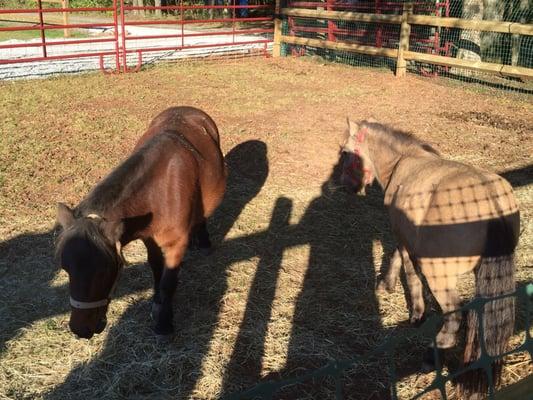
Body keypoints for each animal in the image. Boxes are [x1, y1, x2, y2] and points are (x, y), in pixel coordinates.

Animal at [55, 108, 225, 340]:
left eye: (104, 271)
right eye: (66, 269)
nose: (80, 329)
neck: (158, 194)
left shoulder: (175, 245)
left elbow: (168, 283)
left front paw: (164, 322)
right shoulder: (149, 238)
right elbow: (156, 268)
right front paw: (156, 302)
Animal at [340, 118, 520, 396]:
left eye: (346, 152)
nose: (345, 186)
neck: (403, 160)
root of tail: (490, 200)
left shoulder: (404, 238)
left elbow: (408, 270)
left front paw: (414, 311)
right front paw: (387, 285)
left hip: (439, 275)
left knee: (454, 316)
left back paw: (430, 357)